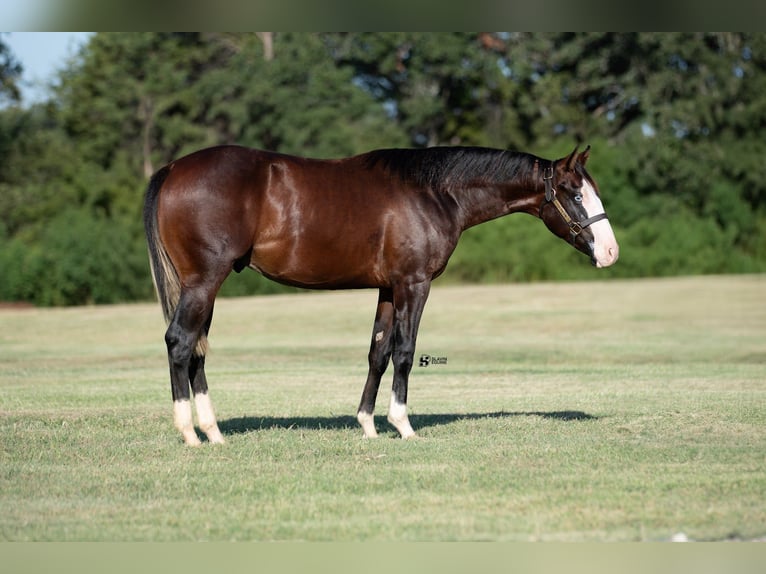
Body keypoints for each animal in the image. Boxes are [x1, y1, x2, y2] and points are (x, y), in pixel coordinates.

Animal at [144, 146, 620, 448]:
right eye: (575, 194)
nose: (610, 251)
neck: (433, 192)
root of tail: (172, 168)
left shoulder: (388, 288)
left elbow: (378, 352)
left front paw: (368, 425)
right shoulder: (414, 283)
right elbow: (405, 351)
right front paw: (403, 425)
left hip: (203, 286)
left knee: (197, 349)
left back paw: (213, 431)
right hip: (205, 281)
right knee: (180, 343)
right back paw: (190, 434)